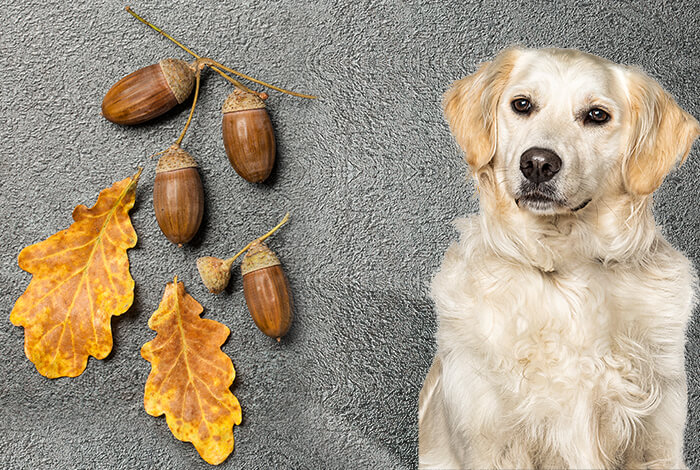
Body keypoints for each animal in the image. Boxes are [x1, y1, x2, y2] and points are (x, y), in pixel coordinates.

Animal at [422, 48, 700, 470]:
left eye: (597, 115)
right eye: (522, 104)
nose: (537, 163)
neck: (563, 268)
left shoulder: (657, 443)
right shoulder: (489, 440)